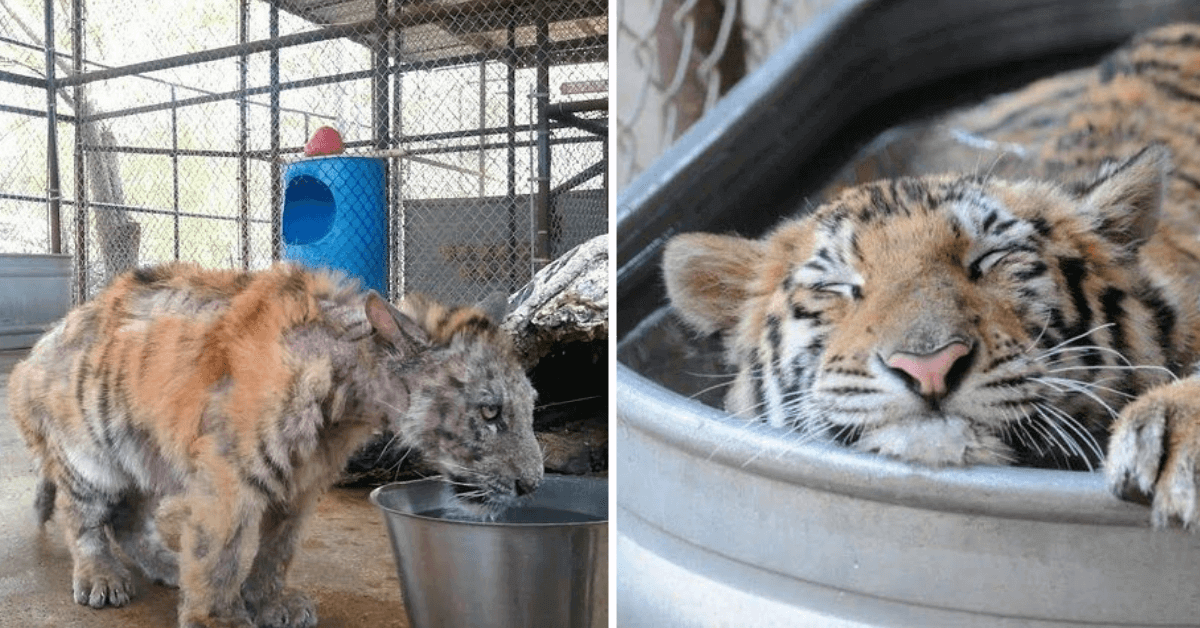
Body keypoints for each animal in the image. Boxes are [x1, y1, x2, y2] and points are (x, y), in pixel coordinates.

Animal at [7, 261, 542, 628]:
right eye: (490, 412)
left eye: (530, 405)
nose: (532, 485)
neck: (348, 400)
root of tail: (33, 354)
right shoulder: (228, 476)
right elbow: (219, 553)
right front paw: (217, 619)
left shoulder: (301, 483)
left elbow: (277, 549)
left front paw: (268, 603)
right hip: (90, 454)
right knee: (83, 518)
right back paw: (101, 578)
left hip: (147, 455)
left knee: (128, 519)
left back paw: (167, 564)